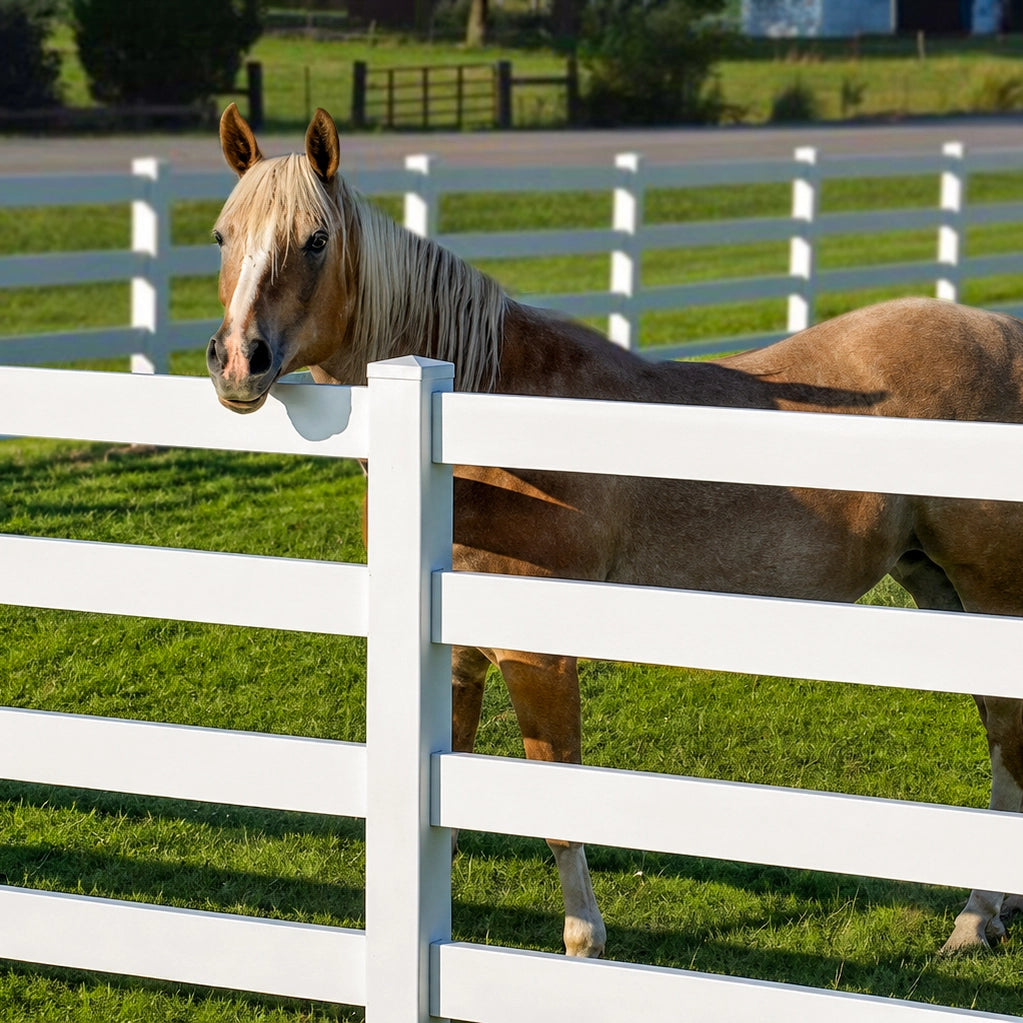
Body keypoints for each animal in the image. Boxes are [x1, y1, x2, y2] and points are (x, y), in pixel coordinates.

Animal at [207, 102, 1023, 959]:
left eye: (315, 239)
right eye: (223, 236)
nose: (237, 361)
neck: (476, 415)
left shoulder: (537, 654)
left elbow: (555, 796)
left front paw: (582, 938)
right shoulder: (456, 659)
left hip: (991, 592)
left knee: (1009, 739)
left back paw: (973, 917)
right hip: (939, 587)